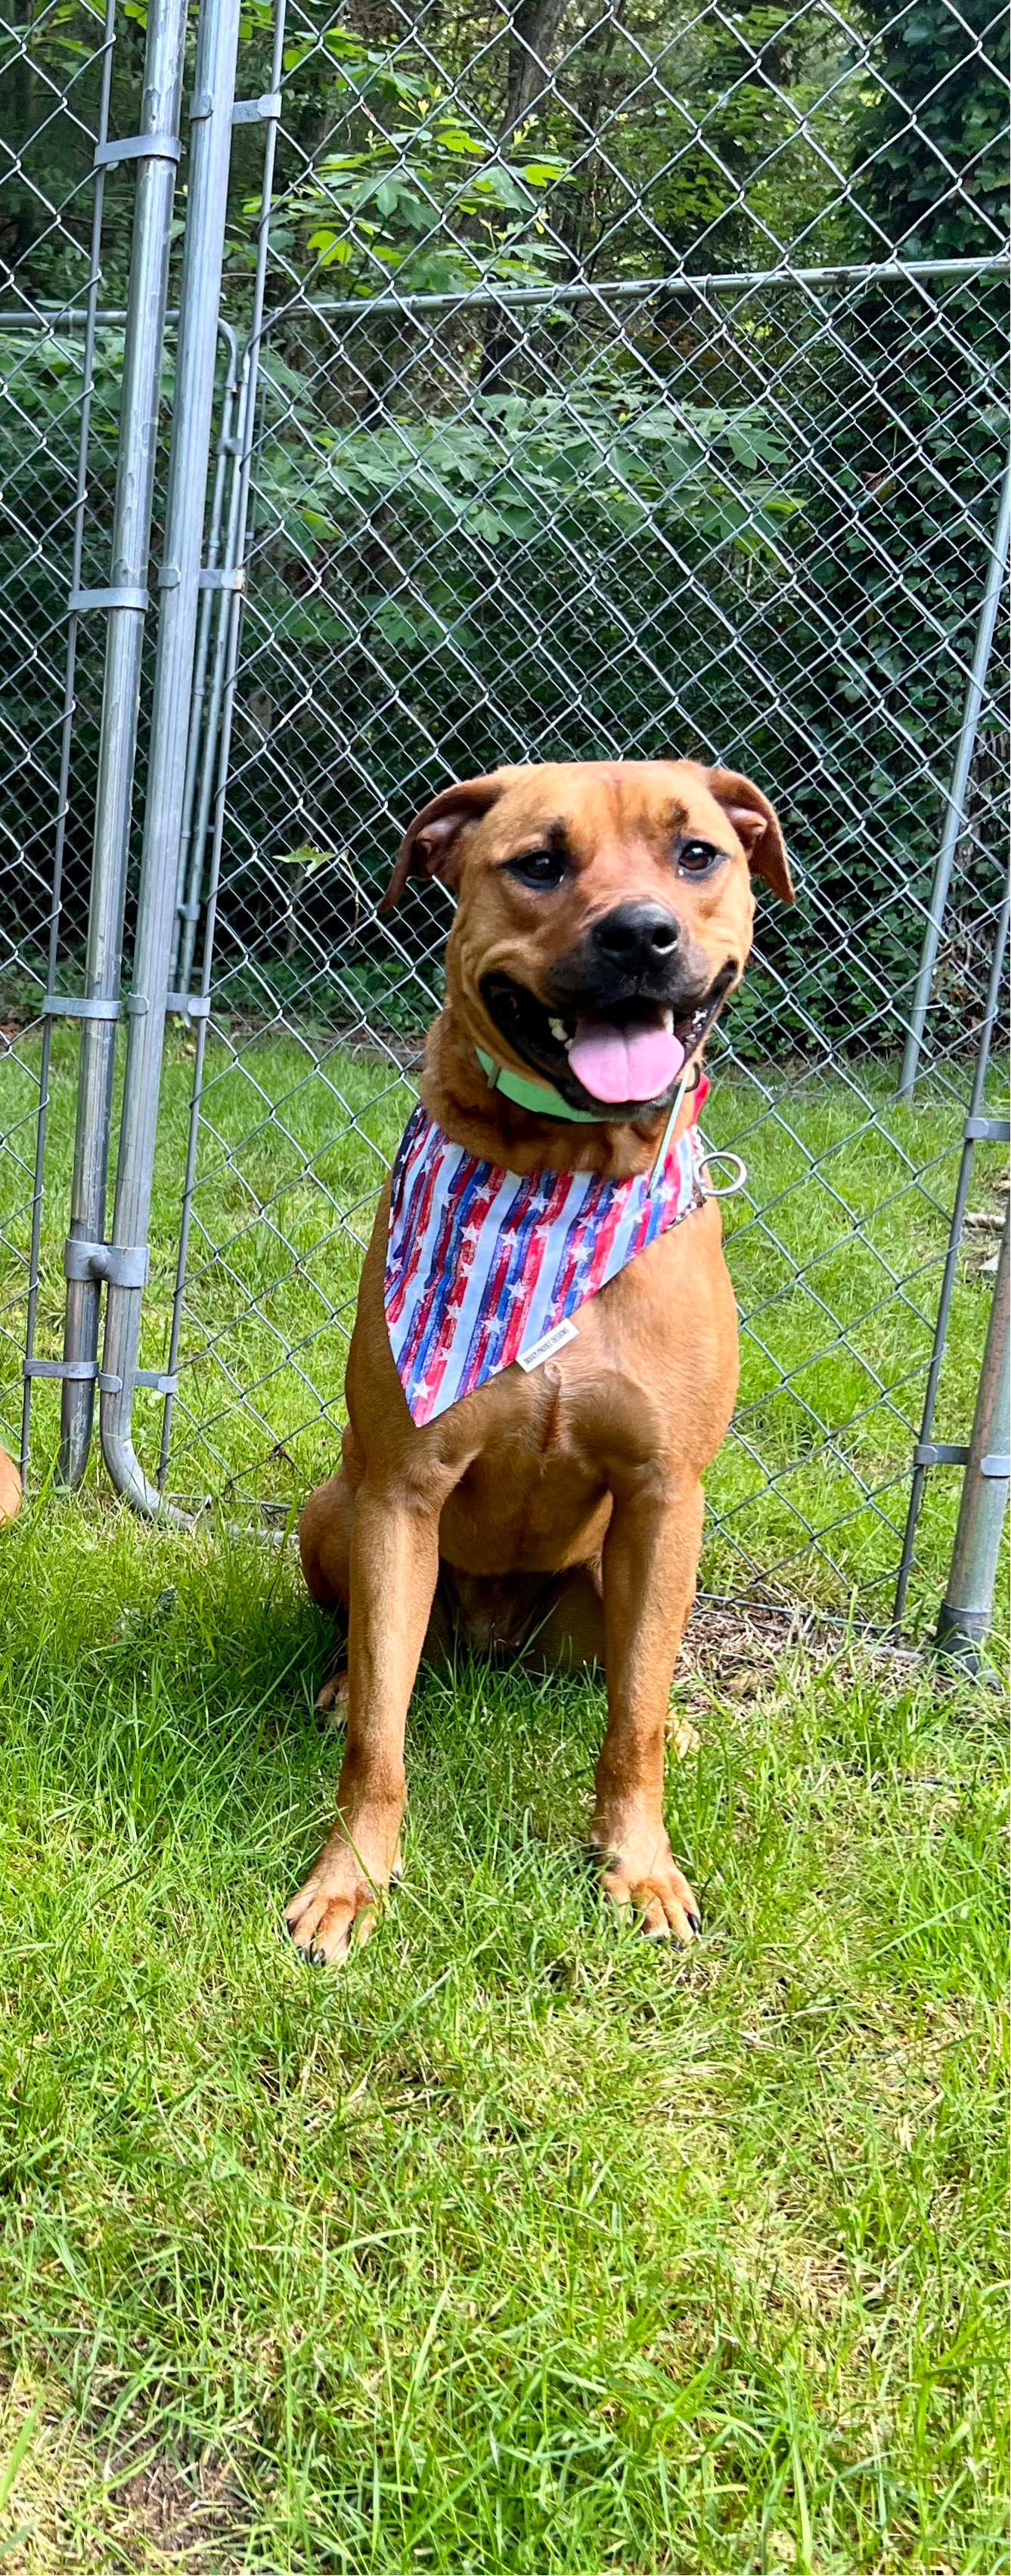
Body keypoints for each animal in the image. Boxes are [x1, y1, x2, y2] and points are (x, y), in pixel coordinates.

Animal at [289, 752, 794, 1958]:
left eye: (696, 853)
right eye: (538, 863)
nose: (642, 935)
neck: (562, 1177)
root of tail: (487, 1637)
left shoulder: (663, 1495)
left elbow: (633, 1722)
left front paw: (638, 1867)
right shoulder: (402, 1493)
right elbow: (378, 1735)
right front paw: (351, 1880)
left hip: (616, 1577)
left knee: (626, 1681)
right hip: (336, 1513)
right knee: (373, 1657)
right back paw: (335, 1681)